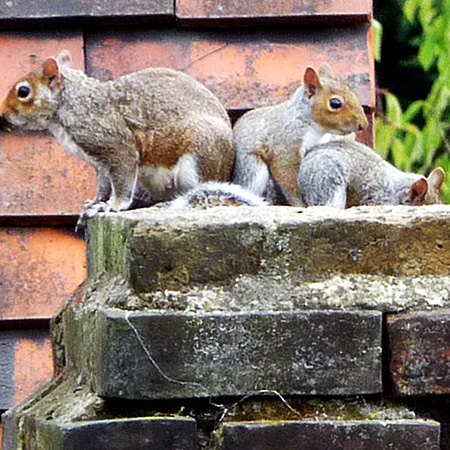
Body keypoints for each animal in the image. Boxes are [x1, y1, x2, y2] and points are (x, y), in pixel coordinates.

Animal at [0, 51, 236, 227]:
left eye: (23, 91)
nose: (3, 115)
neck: (74, 105)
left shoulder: (117, 148)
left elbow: (122, 180)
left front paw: (114, 205)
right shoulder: (100, 163)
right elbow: (104, 187)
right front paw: (94, 204)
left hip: (200, 152)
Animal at [232, 62, 370, 206]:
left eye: (351, 92)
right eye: (335, 103)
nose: (363, 124)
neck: (315, 129)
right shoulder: (286, 147)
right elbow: (289, 181)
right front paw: (301, 204)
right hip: (252, 168)